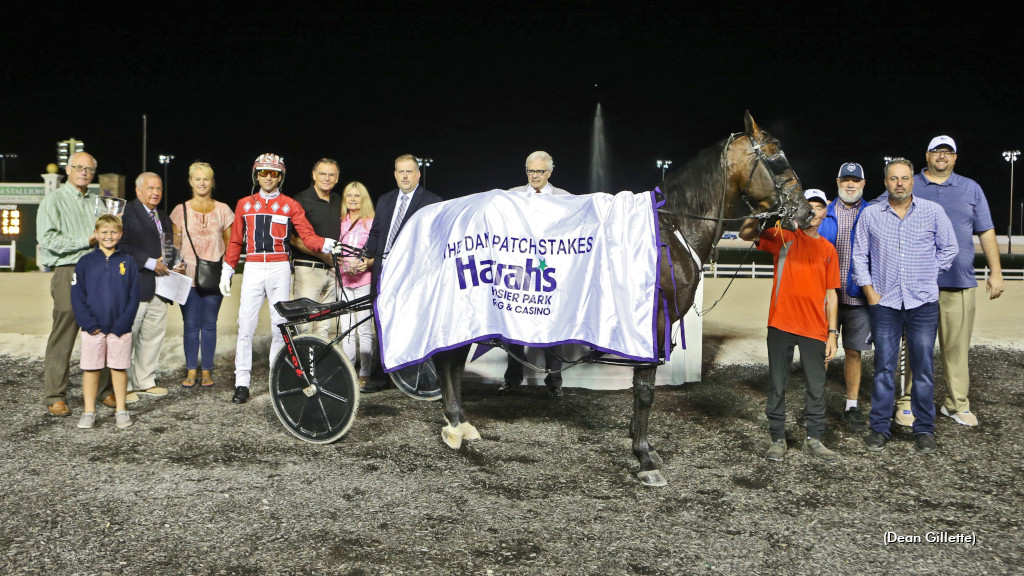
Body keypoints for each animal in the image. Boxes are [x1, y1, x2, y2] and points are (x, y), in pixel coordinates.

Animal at [423, 111, 806, 483]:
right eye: (776, 156)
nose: (803, 211)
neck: (669, 234)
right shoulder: (655, 324)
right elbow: (645, 391)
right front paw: (644, 457)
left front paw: (641, 444)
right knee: (448, 360)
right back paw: (455, 425)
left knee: (452, 362)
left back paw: (460, 424)